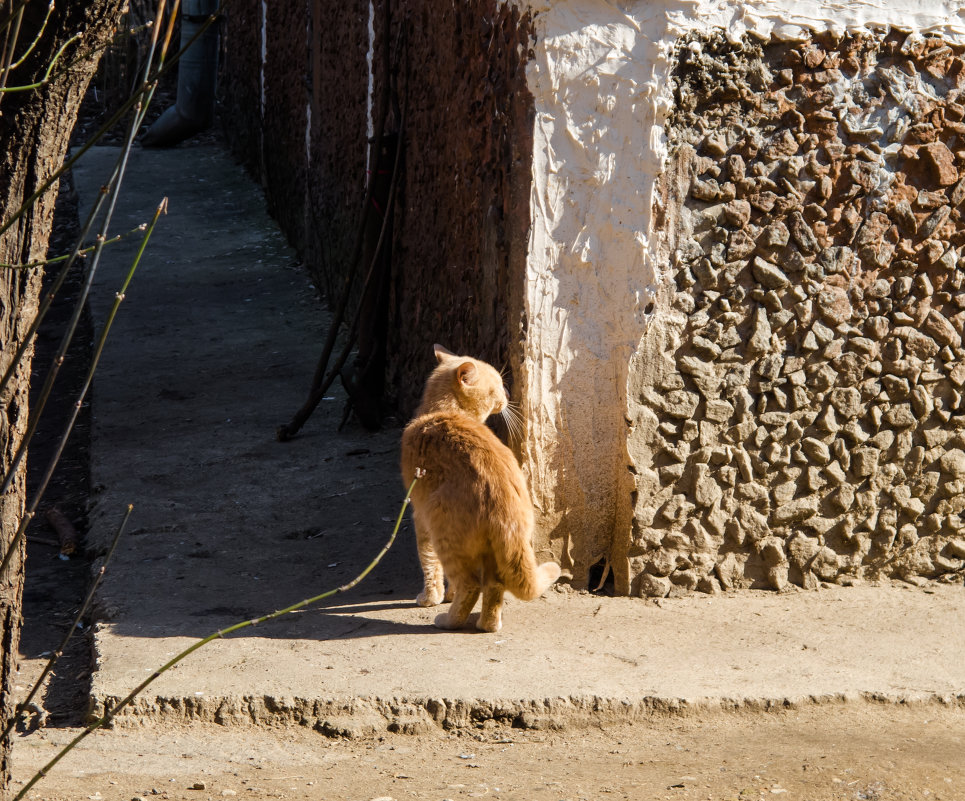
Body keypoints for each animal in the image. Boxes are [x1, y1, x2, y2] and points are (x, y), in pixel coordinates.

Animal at [400, 344, 560, 632]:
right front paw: (446, 595)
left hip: (443, 531)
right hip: (491, 550)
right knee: (494, 586)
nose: (508, 393)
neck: (438, 411)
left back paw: (447, 620)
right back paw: (487, 624)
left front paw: (431, 598)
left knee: (471, 584)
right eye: (497, 384)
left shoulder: (420, 515)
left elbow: (429, 563)